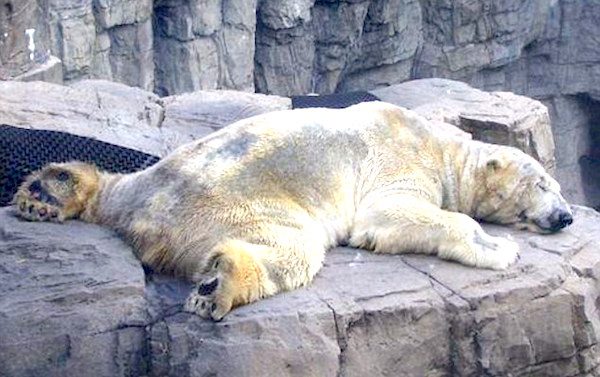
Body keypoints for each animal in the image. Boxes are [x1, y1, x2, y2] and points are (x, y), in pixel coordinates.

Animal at [11, 101, 568, 318]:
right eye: (543, 184)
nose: (565, 216)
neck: (442, 147)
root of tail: (147, 216)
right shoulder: (399, 159)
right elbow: (391, 214)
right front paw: (498, 247)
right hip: (241, 205)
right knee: (290, 248)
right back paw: (220, 283)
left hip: (146, 181)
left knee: (110, 185)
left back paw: (48, 191)